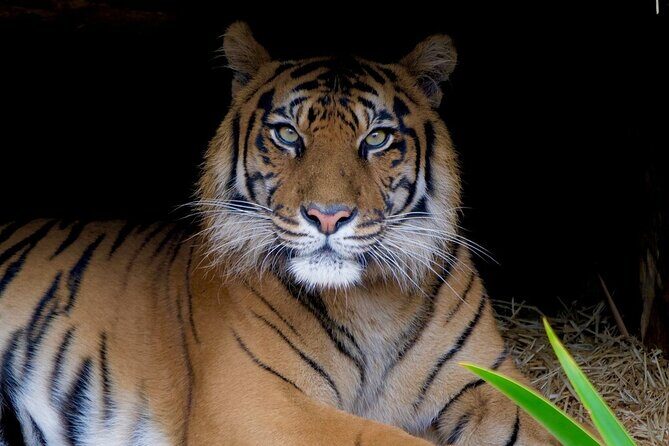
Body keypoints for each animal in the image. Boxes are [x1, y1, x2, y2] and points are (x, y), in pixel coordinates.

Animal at [0, 21, 558, 445]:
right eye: (288, 134)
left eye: (376, 137)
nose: (328, 216)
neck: (374, 301)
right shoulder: (258, 401)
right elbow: (385, 438)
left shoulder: (493, 383)